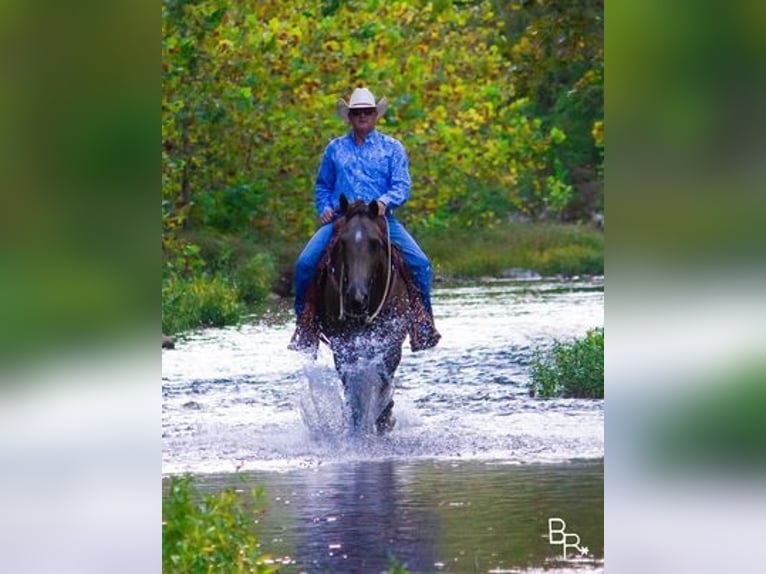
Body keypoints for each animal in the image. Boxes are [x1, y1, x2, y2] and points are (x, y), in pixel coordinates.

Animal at [316, 196, 414, 434]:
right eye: (342, 241)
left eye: (375, 242)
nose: (356, 296)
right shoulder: (342, 342)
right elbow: (351, 382)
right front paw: (356, 422)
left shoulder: (391, 340)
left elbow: (384, 377)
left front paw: (384, 419)